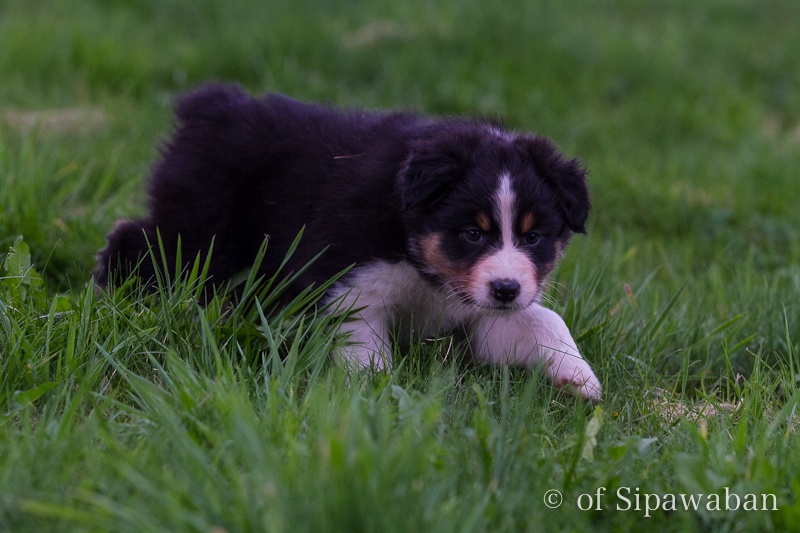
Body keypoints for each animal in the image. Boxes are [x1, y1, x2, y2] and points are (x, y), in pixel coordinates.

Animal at [94, 84, 602, 401]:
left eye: (534, 236)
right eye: (473, 233)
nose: (506, 290)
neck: (416, 254)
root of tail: (213, 104)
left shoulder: (478, 306)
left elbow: (542, 319)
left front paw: (579, 378)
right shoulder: (346, 281)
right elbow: (365, 349)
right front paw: (373, 397)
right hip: (204, 229)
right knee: (141, 242)